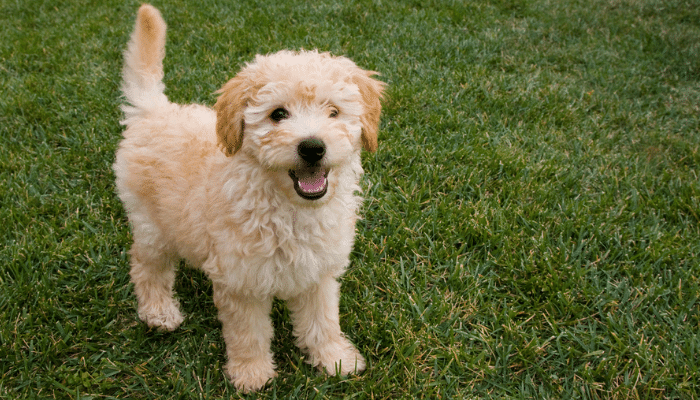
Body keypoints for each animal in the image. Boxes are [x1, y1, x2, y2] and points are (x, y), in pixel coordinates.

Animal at [113, 3, 386, 394]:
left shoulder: (318, 272)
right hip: (151, 225)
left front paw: (335, 359)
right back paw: (159, 312)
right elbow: (248, 334)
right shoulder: (241, 282)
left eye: (333, 112)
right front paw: (252, 374)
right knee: (146, 267)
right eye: (278, 114)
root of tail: (155, 111)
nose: (313, 147)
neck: (288, 208)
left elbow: (323, 320)